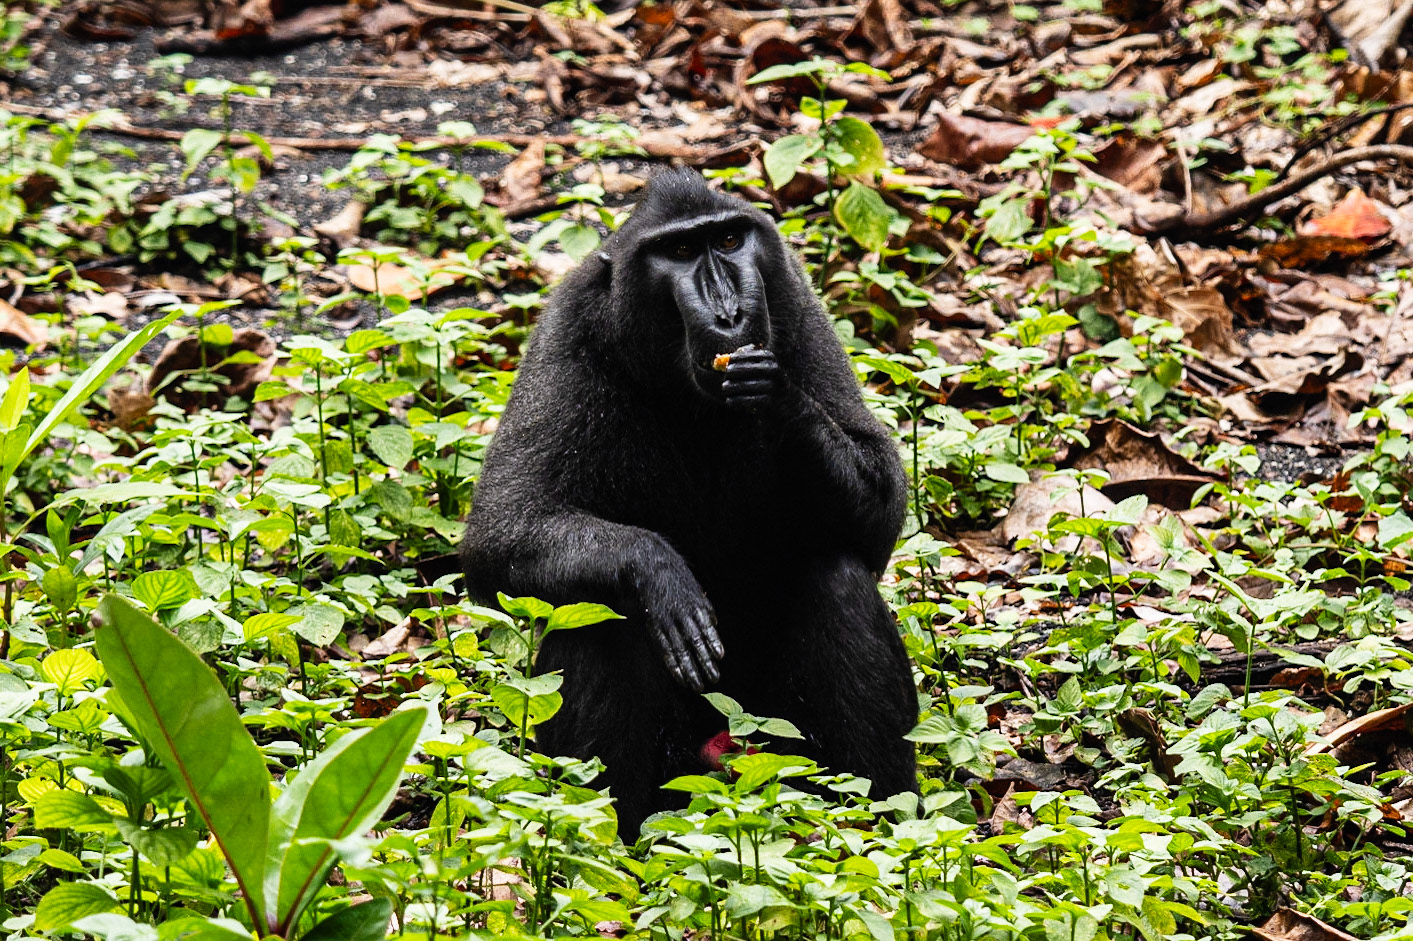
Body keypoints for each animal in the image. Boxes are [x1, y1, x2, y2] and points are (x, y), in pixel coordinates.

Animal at [461, 169, 917, 836]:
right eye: (677, 252)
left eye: (728, 240)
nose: (729, 310)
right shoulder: (567, 330)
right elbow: (497, 537)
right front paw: (658, 571)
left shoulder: (796, 302)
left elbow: (877, 522)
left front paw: (779, 396)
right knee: (599, 612)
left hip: (771, 730)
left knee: (836, 577)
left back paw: (880, 824)